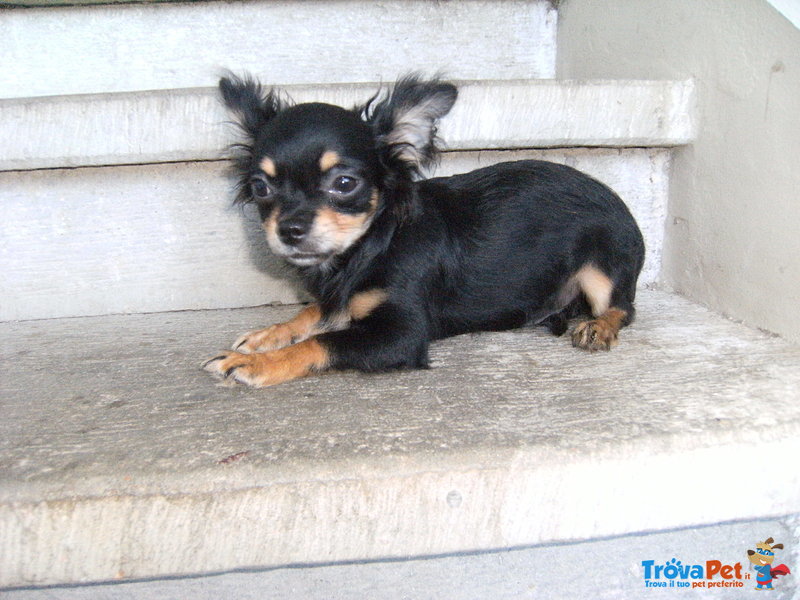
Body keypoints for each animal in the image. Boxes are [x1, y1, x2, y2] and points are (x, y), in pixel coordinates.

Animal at [203, 72, 648, 386]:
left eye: (344, 183)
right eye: (261, 188)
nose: (290, 229)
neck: (370, 247)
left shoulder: (402, 334)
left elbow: (323, 340)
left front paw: (256, 363)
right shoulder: (337, 300)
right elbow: (310, 312)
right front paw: (266, 335)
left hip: (604, 267)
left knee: (624, 308)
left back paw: (599, 327)